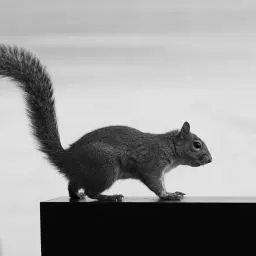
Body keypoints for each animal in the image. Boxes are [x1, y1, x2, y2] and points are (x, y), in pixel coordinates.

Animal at [0, 45, 212, 202]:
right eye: (197, 144)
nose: (210, 160)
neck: (167, 147)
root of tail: (67, 158)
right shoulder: (151, 165)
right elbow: (154, 183)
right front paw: (167, 195)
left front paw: (172, 192)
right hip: (105, 168)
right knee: (91, 191)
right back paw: (109, 197)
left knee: (73, 185)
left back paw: (77, 195)